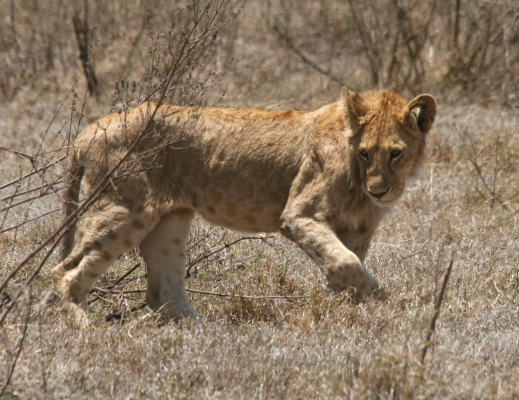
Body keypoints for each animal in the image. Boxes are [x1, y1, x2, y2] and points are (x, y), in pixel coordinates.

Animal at [51, 87, 434, 322]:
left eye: (395, 154)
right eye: (365, 153)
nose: (379, 191)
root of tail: (88, 131)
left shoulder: (357, 229)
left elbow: (346, 268)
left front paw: (347, 312)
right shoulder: (299, 214)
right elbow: (347, 265)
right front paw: (391, 309)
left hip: (170, 219)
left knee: (164, 293)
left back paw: (206, 335)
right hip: (128, 210)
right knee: (65, 272)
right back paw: (86, 333)